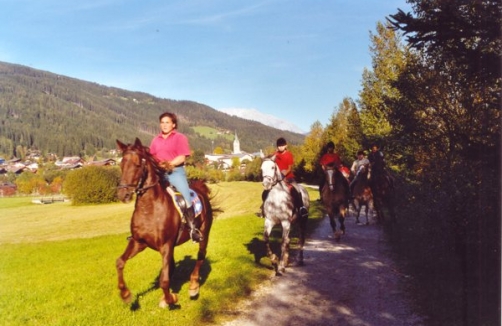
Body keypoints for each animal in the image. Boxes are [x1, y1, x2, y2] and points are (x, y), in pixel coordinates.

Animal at [114, 138, 215, 308]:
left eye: (137, 164)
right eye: (121, 164)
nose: (123, 194)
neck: (149, 209)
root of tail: (200, 190)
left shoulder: (166, 245)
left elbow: (164, 280)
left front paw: (171, 299)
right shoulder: (138, 243)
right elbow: (120, 262)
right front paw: (125, 294)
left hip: (204, 233)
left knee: (201, 255)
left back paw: (193, 286)